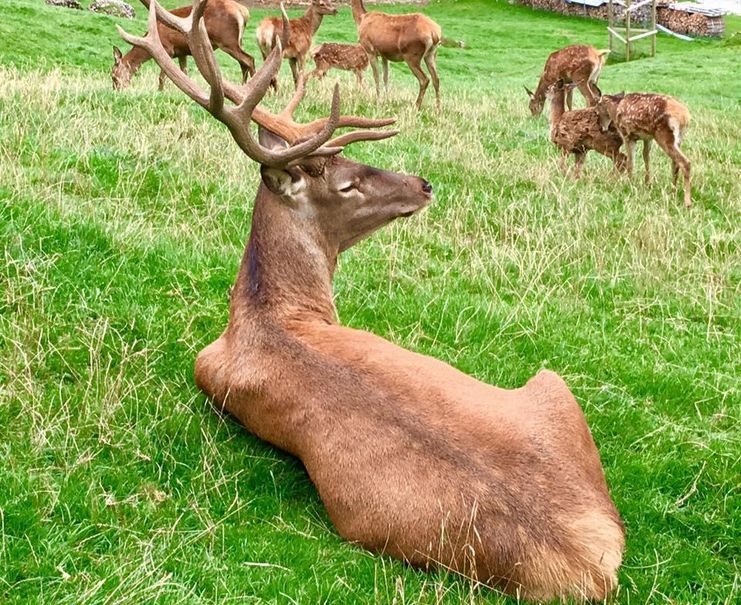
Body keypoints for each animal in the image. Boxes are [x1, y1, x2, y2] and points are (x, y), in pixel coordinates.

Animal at [110, 0, 254, 91]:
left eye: (113, 76)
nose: (116, 91)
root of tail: (244, 12)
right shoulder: (182, 52)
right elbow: (184, 74)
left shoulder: (168, 49)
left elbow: (162, 77)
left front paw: (159, 92)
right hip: (238, 41)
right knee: (243, 63)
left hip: (227, 40)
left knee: (249, 59)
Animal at [120, 3, 624, 600]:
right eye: (347, 184)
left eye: (355, 162)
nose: (424, 184)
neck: (268, 313)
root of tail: (589, 564)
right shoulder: (204, 368)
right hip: (551, 385)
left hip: (554, 391)